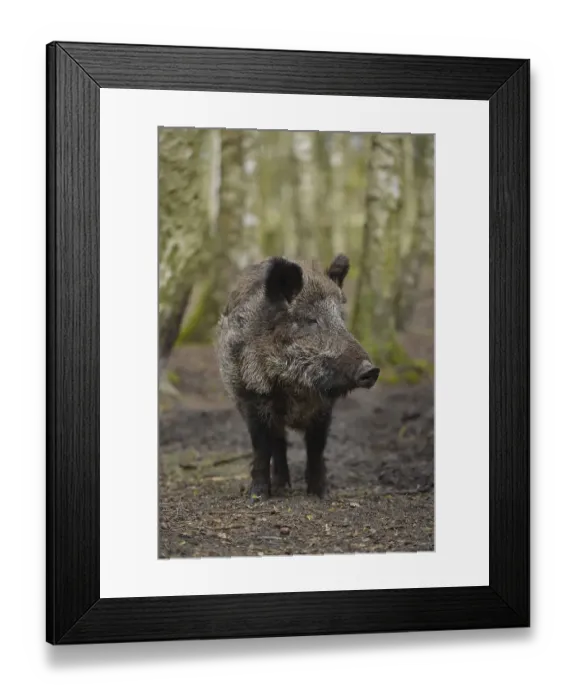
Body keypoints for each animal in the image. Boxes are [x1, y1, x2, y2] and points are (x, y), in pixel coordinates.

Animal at [215, 254, 380, 500]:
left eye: (341, 319)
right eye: (312, 320)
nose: (371, 370)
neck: (294, 387)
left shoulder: (324, 409)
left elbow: (316, 447)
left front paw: (320, 494)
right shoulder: (251, 397)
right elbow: (261, 448)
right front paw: (257, 497)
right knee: (278, 443)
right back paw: (282, 487)